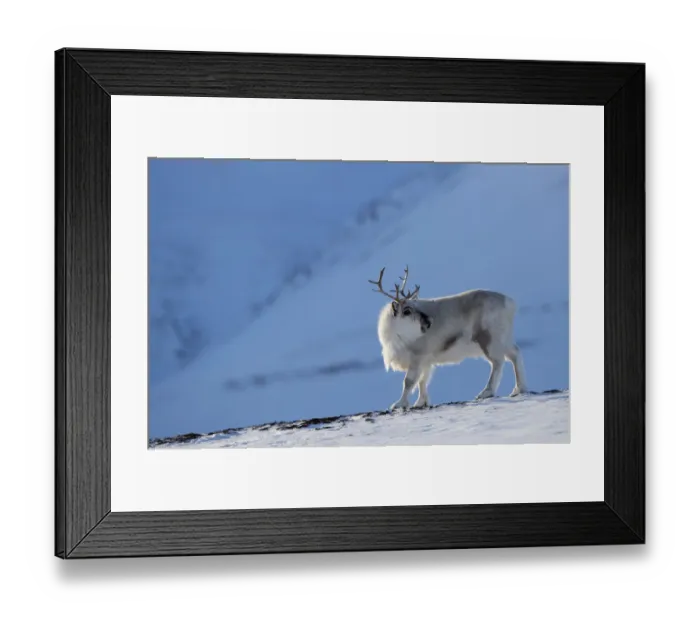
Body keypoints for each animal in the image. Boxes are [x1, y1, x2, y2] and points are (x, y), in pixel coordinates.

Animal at [369, 266, 529, 411]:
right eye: (407, 311)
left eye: (413, 307)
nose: (429, 321)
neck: (394, 337)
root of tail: (510, 303)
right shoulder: (426, 360)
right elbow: (423, 381)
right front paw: (421, 402)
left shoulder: (418, 356)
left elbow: (409, 381)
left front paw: (399, 404)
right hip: (505, 338)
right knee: (515, 354)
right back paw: (519, 389)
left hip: (489, 339)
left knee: (497, 362)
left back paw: (486, 392)